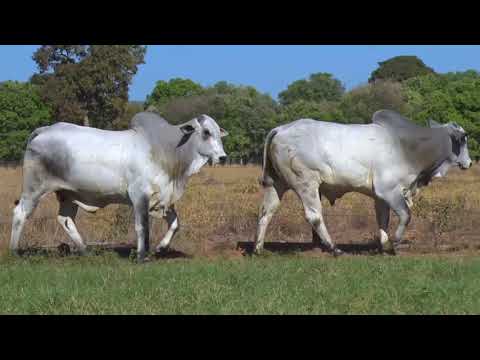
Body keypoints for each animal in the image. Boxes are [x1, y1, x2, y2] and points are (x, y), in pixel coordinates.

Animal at [10, 111, 229, 260]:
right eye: (206, 132)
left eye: (219, 133)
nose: (223, 157)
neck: (167, 150)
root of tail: (44, 129)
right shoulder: (139, 196)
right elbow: (142, 226)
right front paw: (141, 256)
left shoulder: (163, 199)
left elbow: (175, 224)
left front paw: (161, 248)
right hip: (34, 188)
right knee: (20, 213)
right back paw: (13, 251)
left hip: (68, 194)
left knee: (65, 220)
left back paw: (85, 251)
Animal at [255, 111, 472, 255]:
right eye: (463, 140)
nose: (469, 163)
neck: (408, 145)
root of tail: (280, 129)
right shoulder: (389, 191)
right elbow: (405, 215)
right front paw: (395, 242)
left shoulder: (380, 196)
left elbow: (383, 219)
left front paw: (384, 245)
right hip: (306, 184)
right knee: (314, 216)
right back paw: (334, 248)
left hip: (276, 184)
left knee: (266, 212)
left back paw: (258, 248)